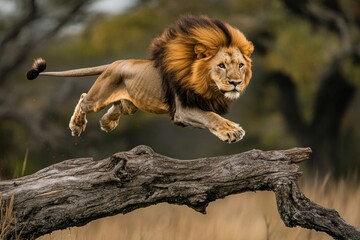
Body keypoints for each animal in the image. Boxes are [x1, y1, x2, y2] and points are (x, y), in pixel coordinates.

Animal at [26, 15, 253, 142]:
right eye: (221, 66)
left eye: (240, 65)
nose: (235, 83)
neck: (206, 84)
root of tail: (115, 63)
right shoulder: (182, 110)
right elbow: (211, 117)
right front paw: (232, 131)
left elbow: (211, 116)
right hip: (98, 98)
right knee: (83, 99)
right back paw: (77, 126)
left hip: (131, 104)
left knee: (117, 107)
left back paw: (107, 124)